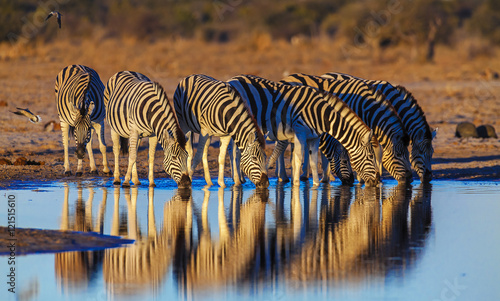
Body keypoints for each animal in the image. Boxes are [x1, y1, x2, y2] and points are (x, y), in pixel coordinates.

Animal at [227, 74, 378, 186]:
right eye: (346, 161)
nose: (376, 182)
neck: (321, 114)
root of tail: (231, 79)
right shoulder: (299, 131)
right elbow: (298, 158)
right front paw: (296, 184)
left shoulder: (314, 137)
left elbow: (313, 160)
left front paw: (316, 185)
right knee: (234, 152)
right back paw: (237, 180)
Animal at [282, 73, 414, 183]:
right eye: (398, 154)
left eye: (408, 154)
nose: (410, 179)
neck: (365, 107)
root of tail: (288, 77)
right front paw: (362, 179)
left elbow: (376, 151)